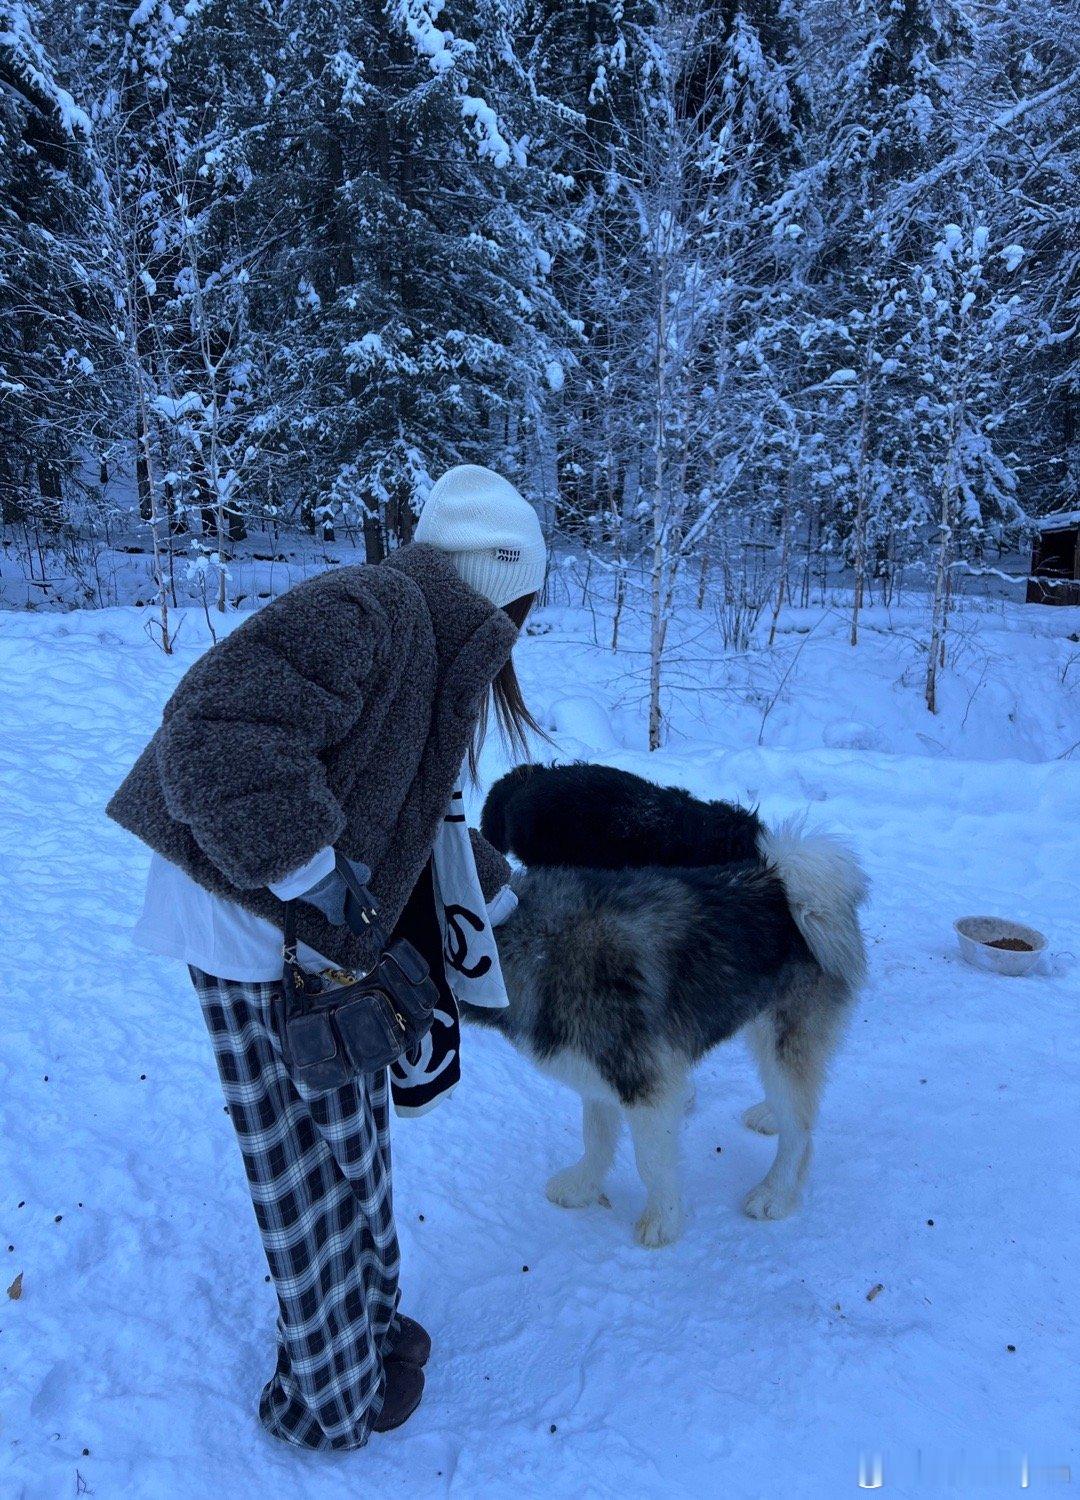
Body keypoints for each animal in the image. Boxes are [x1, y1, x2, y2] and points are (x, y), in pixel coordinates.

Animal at [465, 828, 870, 1248]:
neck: (536, 942)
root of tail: (784, 881)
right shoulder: (599, 1073)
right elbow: (595, 1138)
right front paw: (582, 1186)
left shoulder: (646, 1084)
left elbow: (651, 1161)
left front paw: (663, 1219)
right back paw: (769, 1113)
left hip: (784, 1035)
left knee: (799, 1129)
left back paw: (776, 1192)